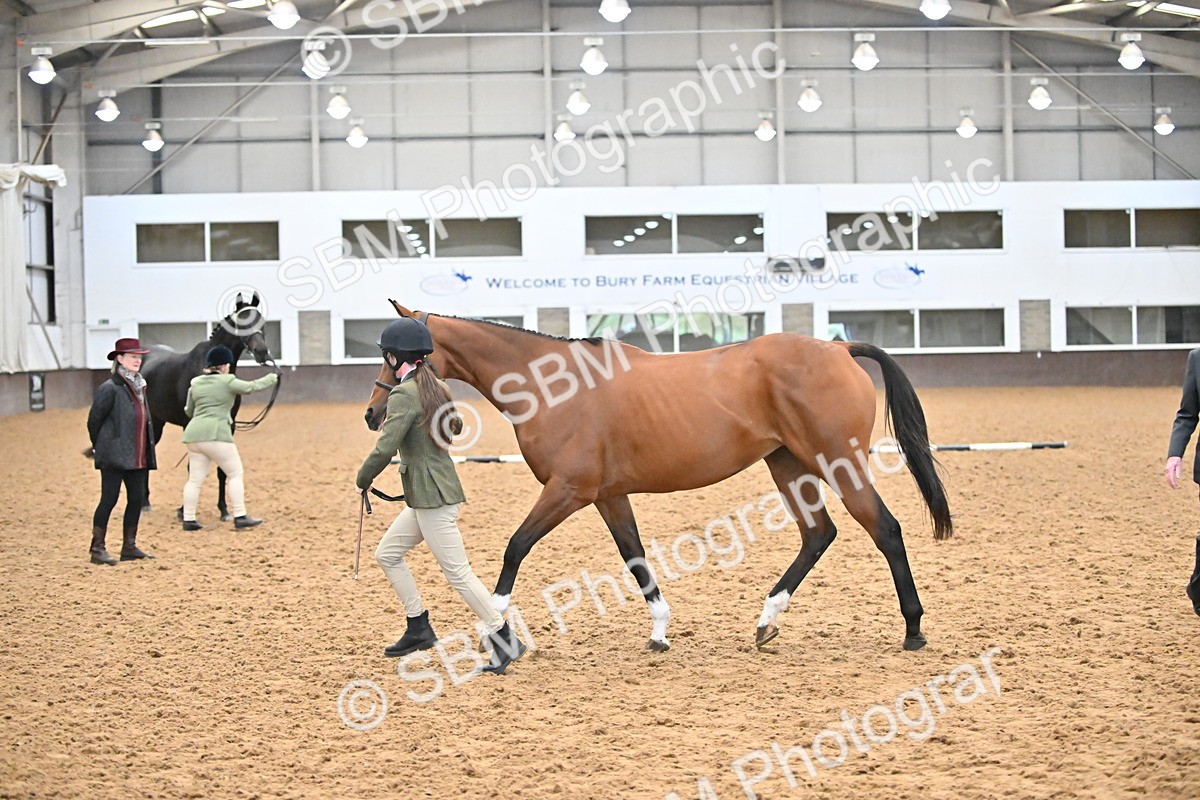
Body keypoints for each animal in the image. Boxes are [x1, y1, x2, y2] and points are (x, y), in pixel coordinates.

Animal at [364, 300, 952, 653]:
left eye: (394, 357)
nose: (373, 414)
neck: (554, 386)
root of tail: (837, 347)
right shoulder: (608, 496)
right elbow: (636, 558)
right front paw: (661, 631)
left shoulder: (569, 490)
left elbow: (515, 547)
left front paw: (499, 626)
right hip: (787, 464)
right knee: (818, 534)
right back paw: (767, 620)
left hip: (836, 463)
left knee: (885, 530)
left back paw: (914, 629)